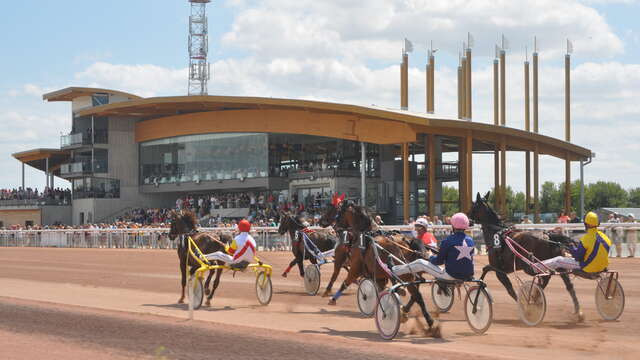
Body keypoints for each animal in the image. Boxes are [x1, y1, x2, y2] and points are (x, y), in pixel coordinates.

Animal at [318, 194, 442, 338]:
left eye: (332, 209)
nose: (321, 221)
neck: (364, 236)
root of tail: (407, 241)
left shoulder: (354, 268)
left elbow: (344, 282)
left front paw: (332, 297)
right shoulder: (379, 276)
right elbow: (380, 290)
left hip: (405, 275)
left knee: (416, 295)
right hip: (409, 276)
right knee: (417, 296)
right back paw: (423, 320)